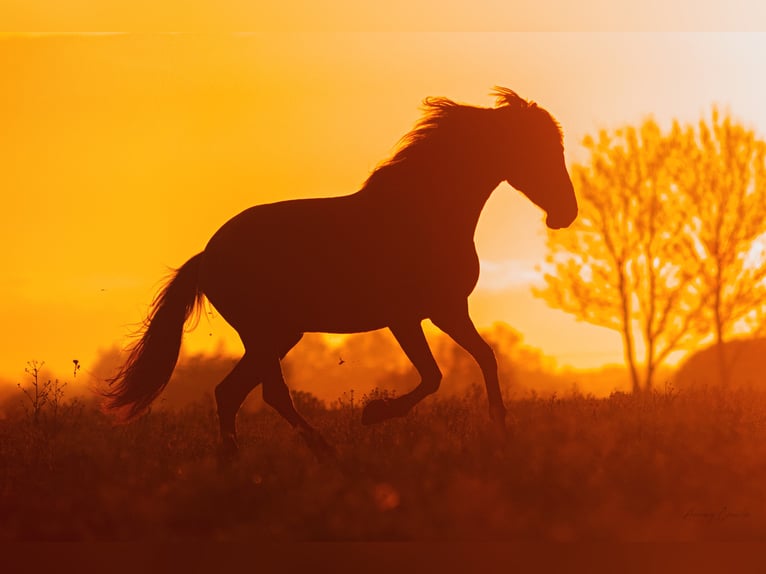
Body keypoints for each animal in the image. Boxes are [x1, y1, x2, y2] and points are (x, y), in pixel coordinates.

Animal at [105, 86, 580, 464]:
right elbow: (434, 375)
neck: (426, 214)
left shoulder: (448, 310)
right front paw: (374, 413)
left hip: (277, 334)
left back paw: (236, 459)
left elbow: (485, 357)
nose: (567, 213)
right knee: (266, 392)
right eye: (539, 148)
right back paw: (323, 451)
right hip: (264, 333)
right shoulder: (407, 318)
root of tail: (207, 255)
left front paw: (501, 433)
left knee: (232, 392)